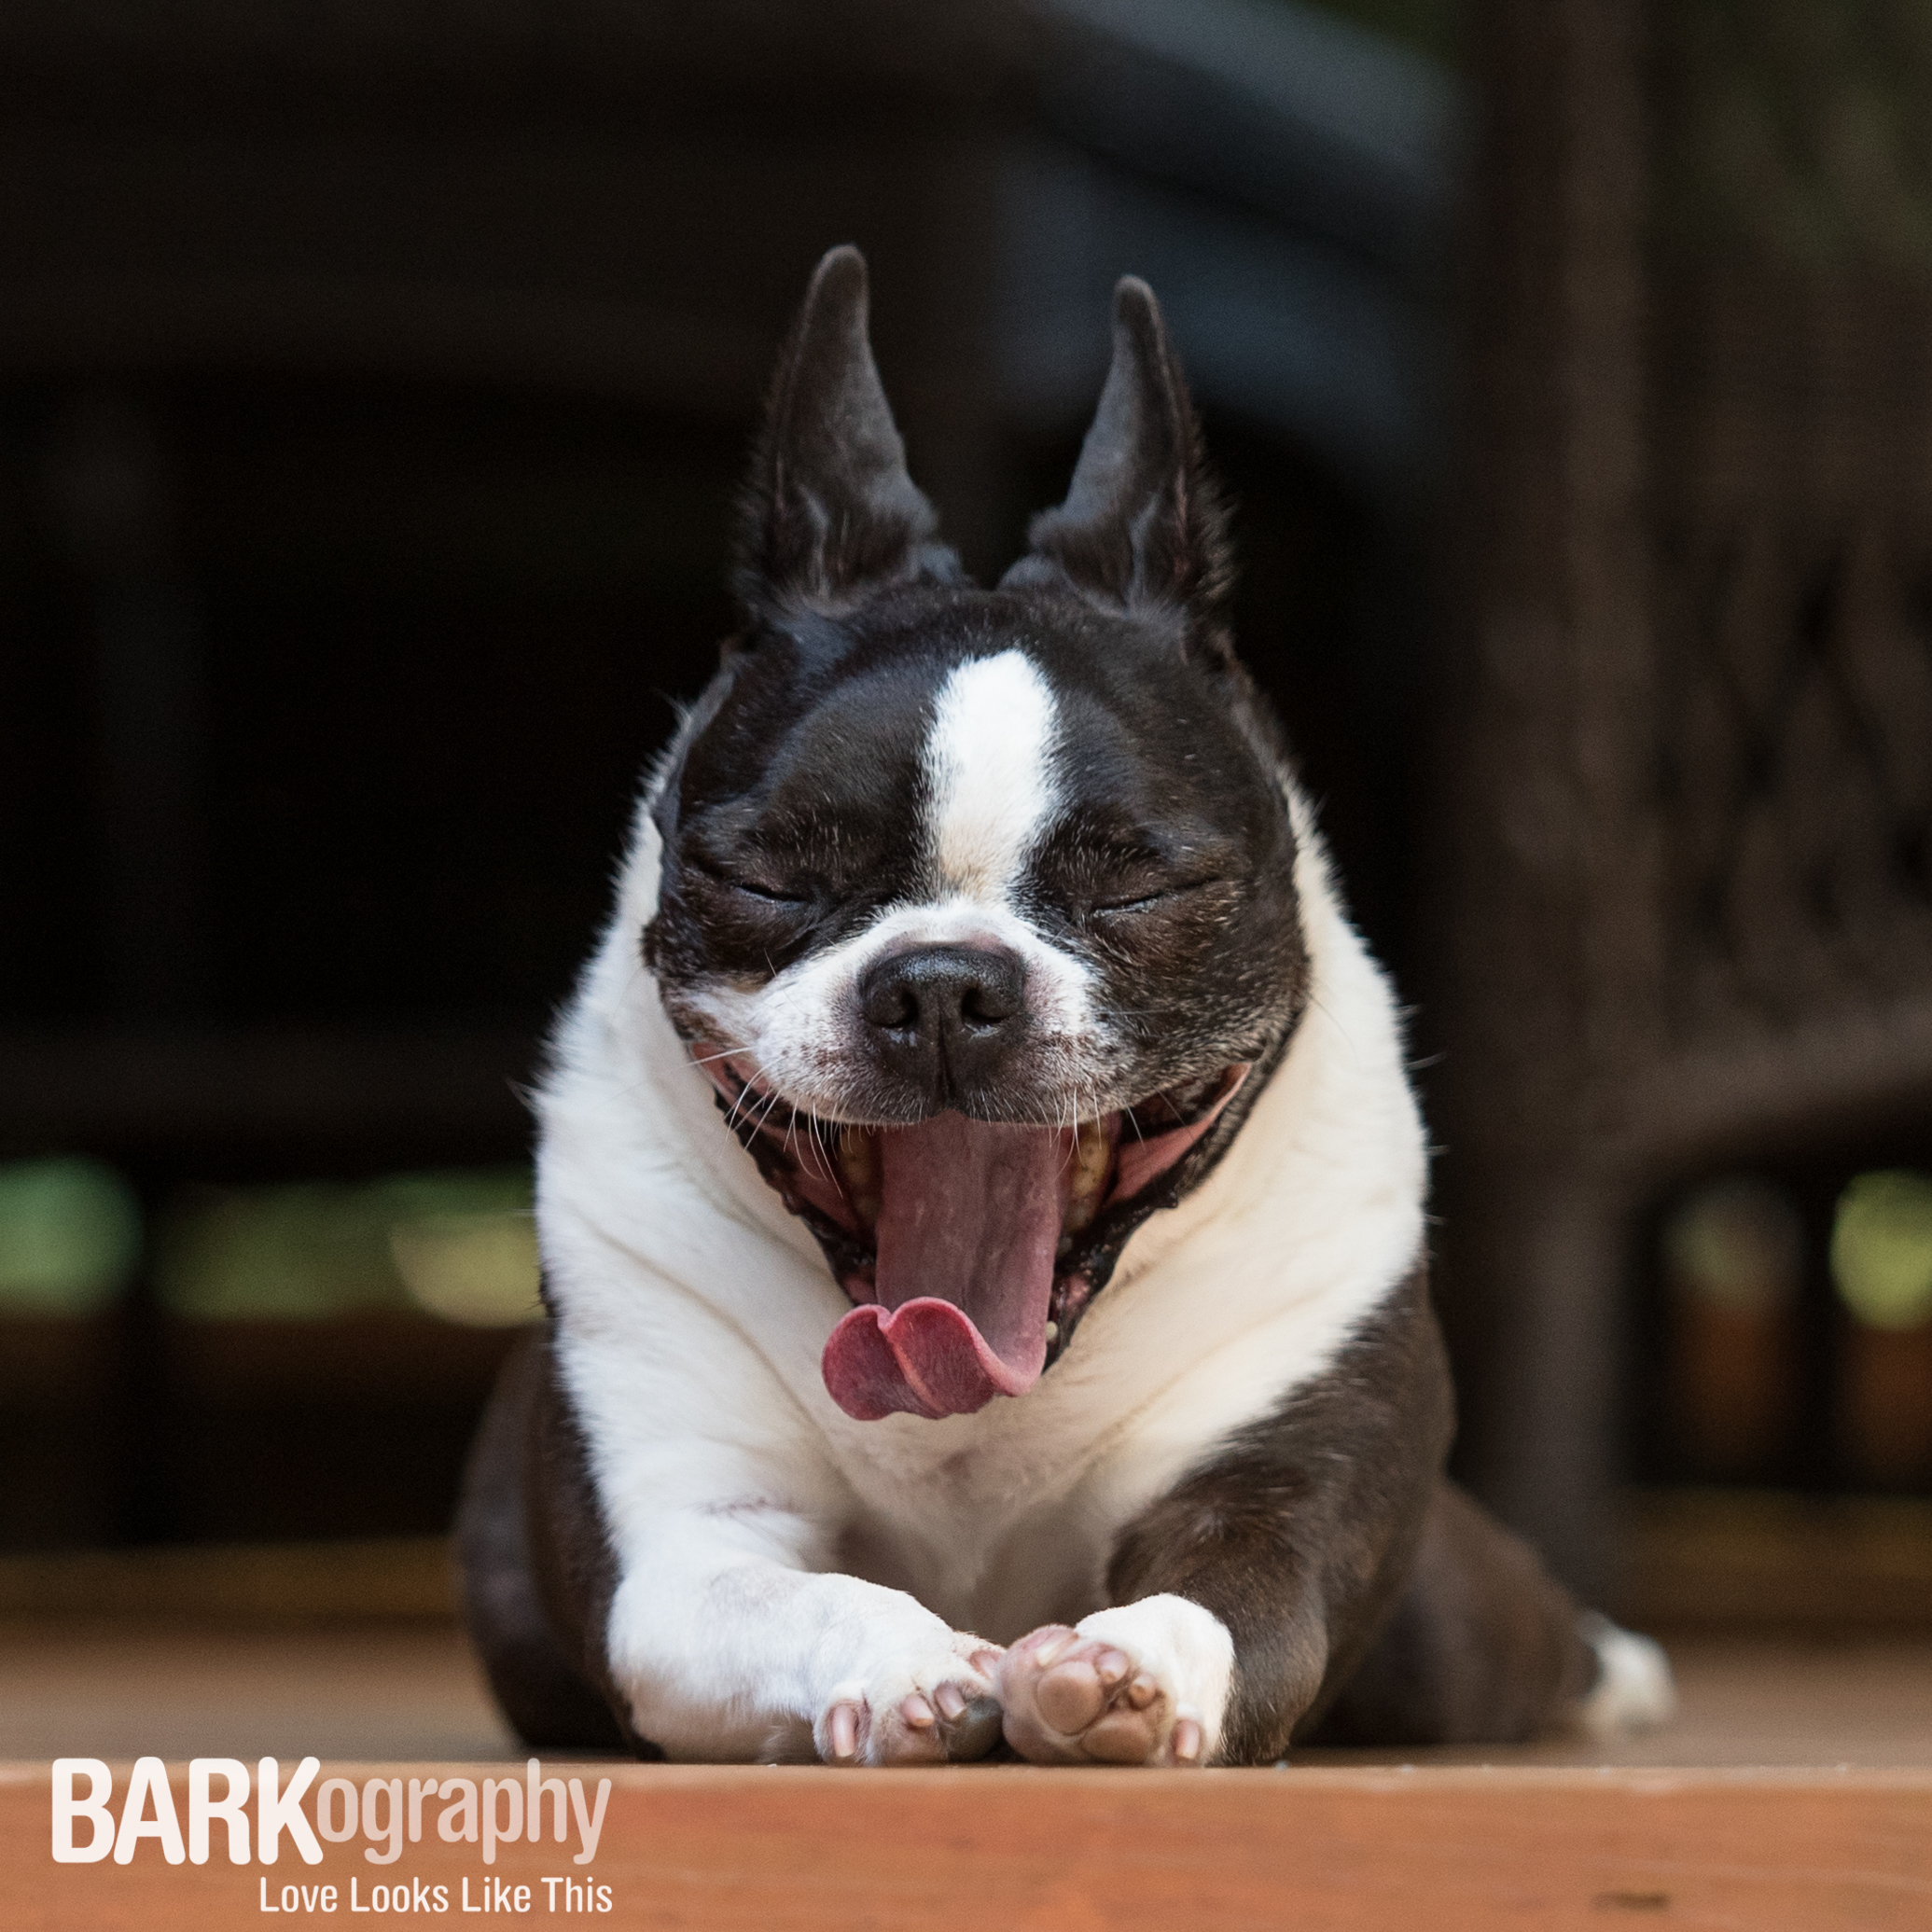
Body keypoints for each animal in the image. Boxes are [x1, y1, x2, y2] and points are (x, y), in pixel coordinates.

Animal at [455, 253, 1676, 1770]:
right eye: (766, 876)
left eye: (1140, 886)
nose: (940, 983)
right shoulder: (677, 1543)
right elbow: (789, 1592)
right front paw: (905, 1661)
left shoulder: (1282, 1481)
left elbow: (1234, 1594)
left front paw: (1130, 1664)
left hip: (1444, 1634)